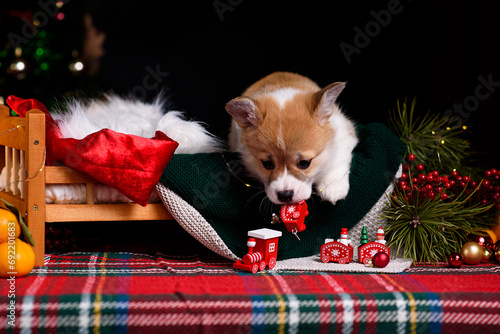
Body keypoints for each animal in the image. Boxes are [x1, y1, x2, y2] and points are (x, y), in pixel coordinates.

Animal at [225, 72, 358, 205]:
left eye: (304, 163)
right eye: (267, 164)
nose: (285, 195)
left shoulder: (344, 132)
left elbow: (338, 158)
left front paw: (332, 187)